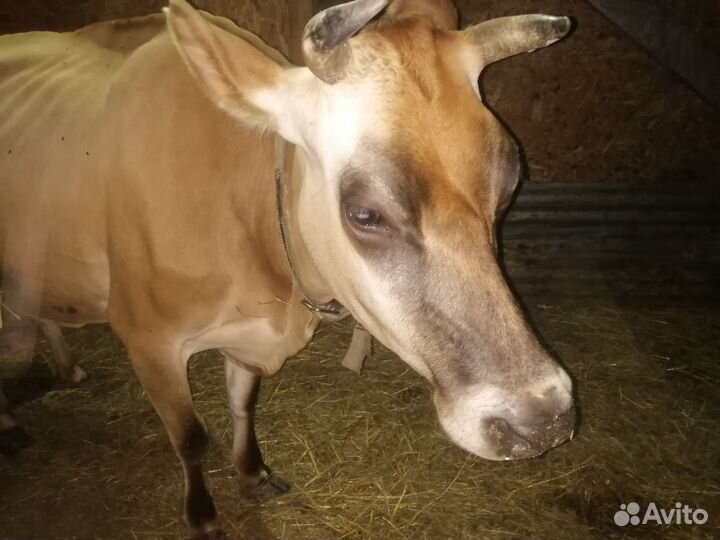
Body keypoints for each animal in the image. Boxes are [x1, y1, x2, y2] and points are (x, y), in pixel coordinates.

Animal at [0, 0, 576, 537]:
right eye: (364, 214)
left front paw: (254, 474)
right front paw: (203, 517)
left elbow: (243, 403)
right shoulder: (147, 339)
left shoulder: (247, 337)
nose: (540, 419)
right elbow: (190, 437)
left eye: (509, 185)